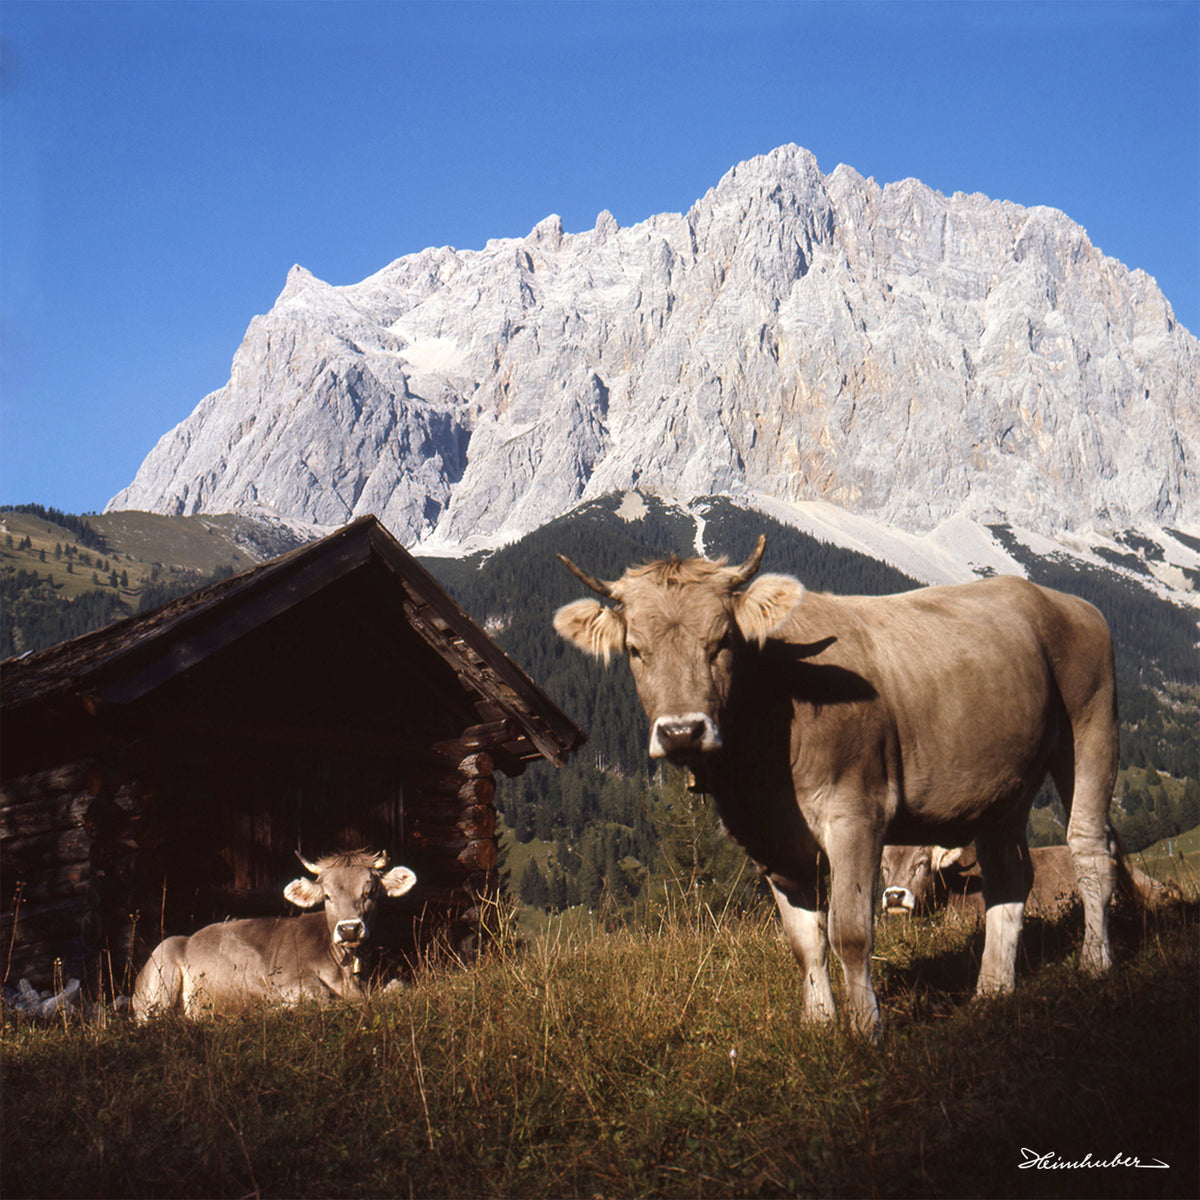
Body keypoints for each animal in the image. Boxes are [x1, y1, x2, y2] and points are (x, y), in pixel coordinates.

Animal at [133, 850, 416, 1019]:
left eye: (370, 892)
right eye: (327, 896)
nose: (349, 929)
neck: (347, 975)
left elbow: (399, 986)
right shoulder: (283, 981)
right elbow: (320, 996)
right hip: (158, 988)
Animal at [553, 537, 1119, 1035]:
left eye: (722, 641)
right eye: (634, 649)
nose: (681, 731)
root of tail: (1054, 598)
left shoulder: (857, 814)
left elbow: (849, 932)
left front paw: (866, 1030)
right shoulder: (770, 842)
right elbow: (805, 940)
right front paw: (819, 1024)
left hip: (1091, 725)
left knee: (1089, 849)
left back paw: (1095, 963)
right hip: (1001, 789)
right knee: (1008, 877)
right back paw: (993, 991)